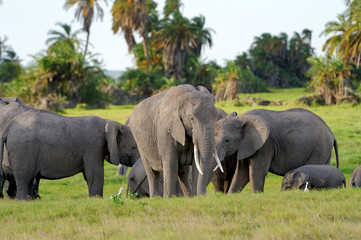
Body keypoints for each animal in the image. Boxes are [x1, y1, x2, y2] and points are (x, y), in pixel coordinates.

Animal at [0, 109, 139, 201]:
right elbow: (95, 174)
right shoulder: (93, 146)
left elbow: (90, 174)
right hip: (23, 149)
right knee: (24, 178)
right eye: (133, 147)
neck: (109, 122)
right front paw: (96, 200)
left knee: (29, 178)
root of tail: (8, 128)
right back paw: (23, 201)